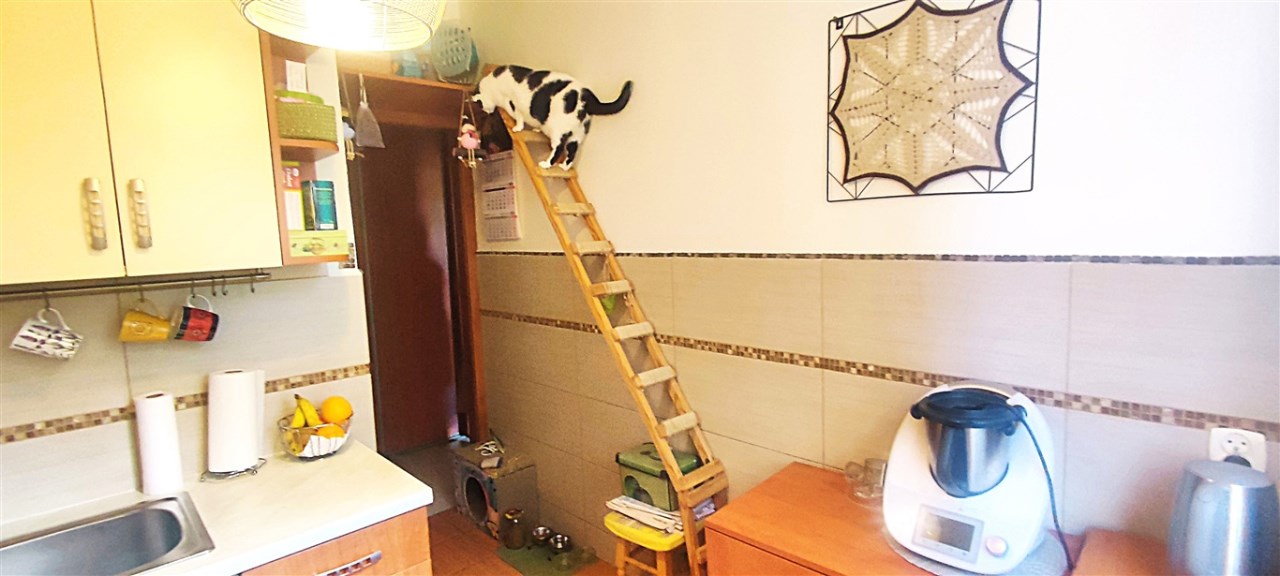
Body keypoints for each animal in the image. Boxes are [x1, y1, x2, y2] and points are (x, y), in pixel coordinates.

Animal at [472, 65, 633, 170]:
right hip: (577, 135)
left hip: (558, 129)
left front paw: (517, 127)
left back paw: (546, 164)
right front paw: (537, 129)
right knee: (572, 151)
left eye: (481, 108)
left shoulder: (515, 104)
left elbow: (519, 117)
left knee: (559, 148)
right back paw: (564, 167)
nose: (487, 112)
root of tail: (586, 95)